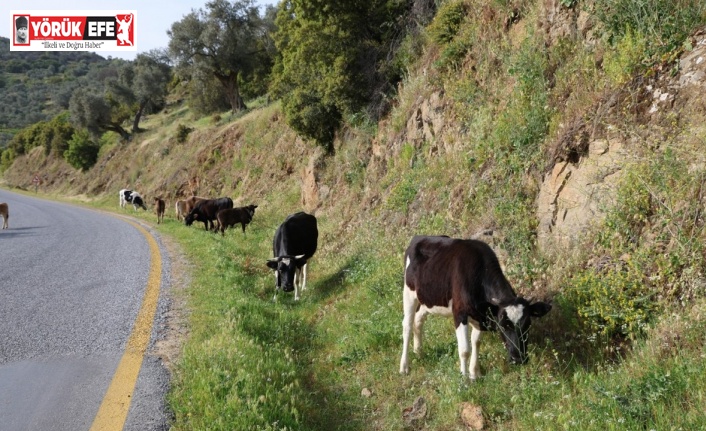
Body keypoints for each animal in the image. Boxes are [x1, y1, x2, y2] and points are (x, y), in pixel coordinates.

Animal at [398, 236, 548, 382]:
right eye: (502, 326)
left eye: (528, 325)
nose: (518, 359)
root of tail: (418, 238)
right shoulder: (460, 313)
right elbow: (465, 350)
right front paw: (464, 380)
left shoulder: (481, 316)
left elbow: (476, 342)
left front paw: (475, 374)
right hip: (409, 292)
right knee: (407, 326)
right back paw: (404, 366)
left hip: (427, 299)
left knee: (418, 320)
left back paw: (419, 352)